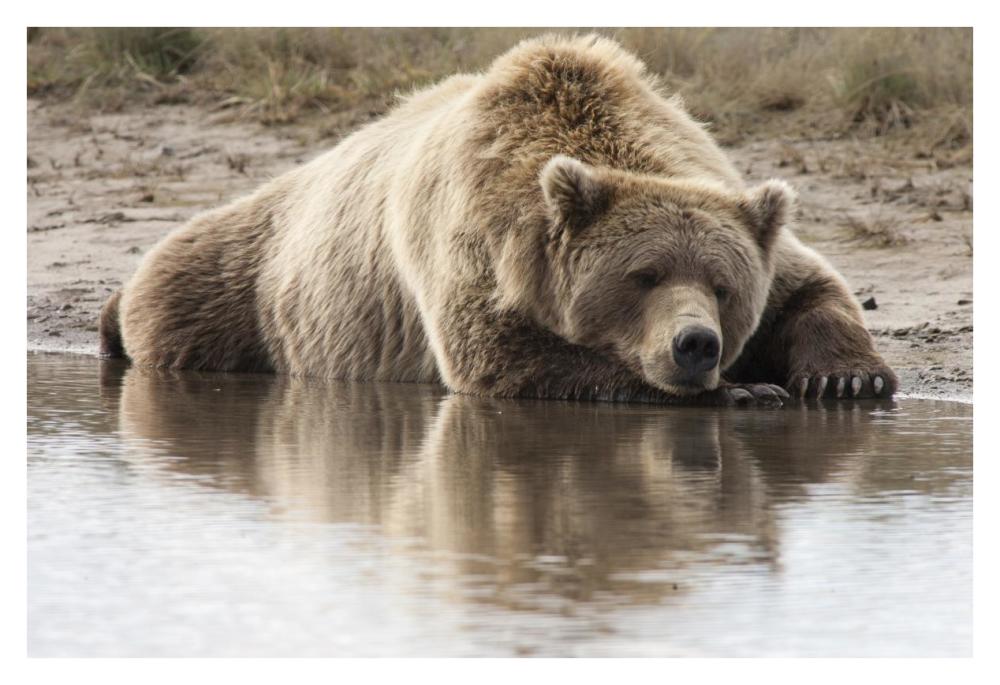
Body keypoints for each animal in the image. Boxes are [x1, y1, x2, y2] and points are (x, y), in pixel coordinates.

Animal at [100, 34, 897, 407]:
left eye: (724, 286)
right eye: (643, 275)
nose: (696, 344)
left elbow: (809, 284)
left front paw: (847, 380)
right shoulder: (477, 245)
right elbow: (506, 358)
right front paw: (744, 389)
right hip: (246, 283)